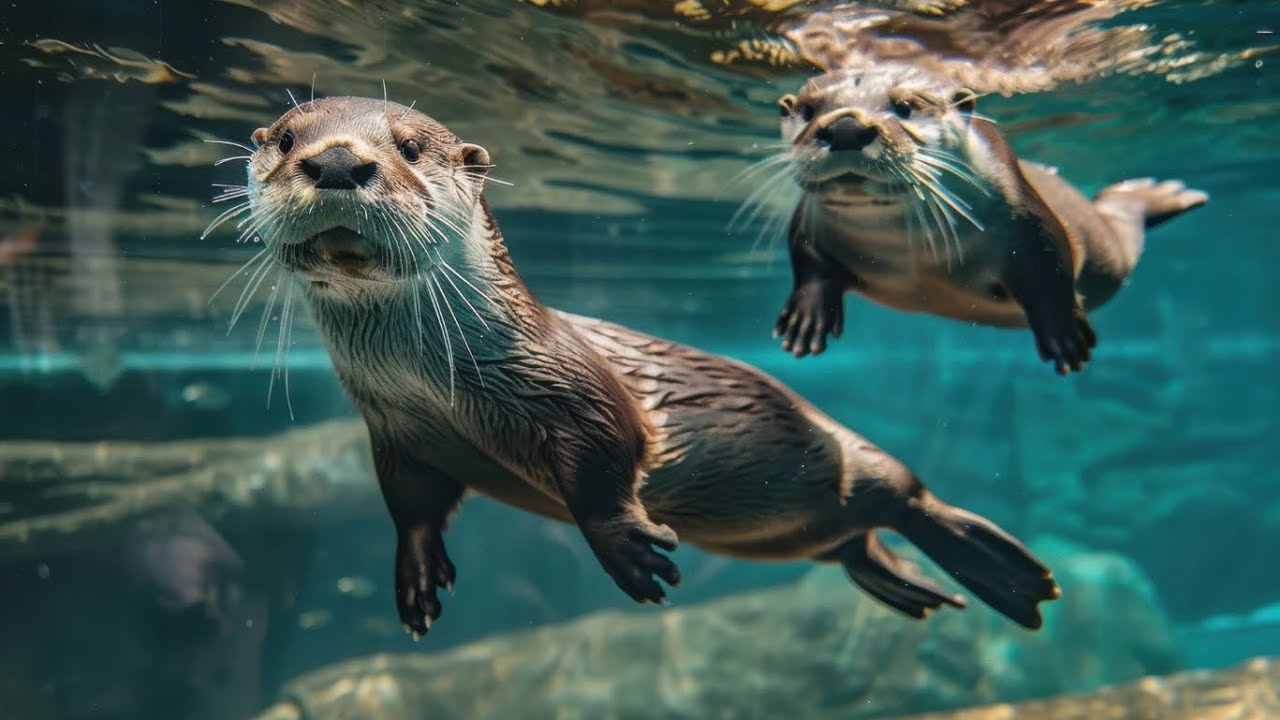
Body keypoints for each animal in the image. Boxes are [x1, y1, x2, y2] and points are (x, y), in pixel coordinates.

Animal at [227, 96, 1059, 637]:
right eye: (287, 138)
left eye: (407, 145)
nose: (338, 160)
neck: (438, 382)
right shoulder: (396, 429)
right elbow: (412, 505)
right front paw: (418, 574)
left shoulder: (571, 388)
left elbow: (605, 463)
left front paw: (630, 552)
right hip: (829, 534)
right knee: (860, 542)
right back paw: (915, 588)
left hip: (860, 458)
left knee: (913, 497)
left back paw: (1008, 571)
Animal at [765, 64, 1207, 374]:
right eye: (808, 111)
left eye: (905, 107)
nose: (845, 126)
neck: (911, 249)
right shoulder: (808, 219)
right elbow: (806, 256)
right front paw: (808, 316)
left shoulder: (1024, 218)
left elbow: (1051, 267)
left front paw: (1065, 334)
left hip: (1105, 253)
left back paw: (1155, 192)